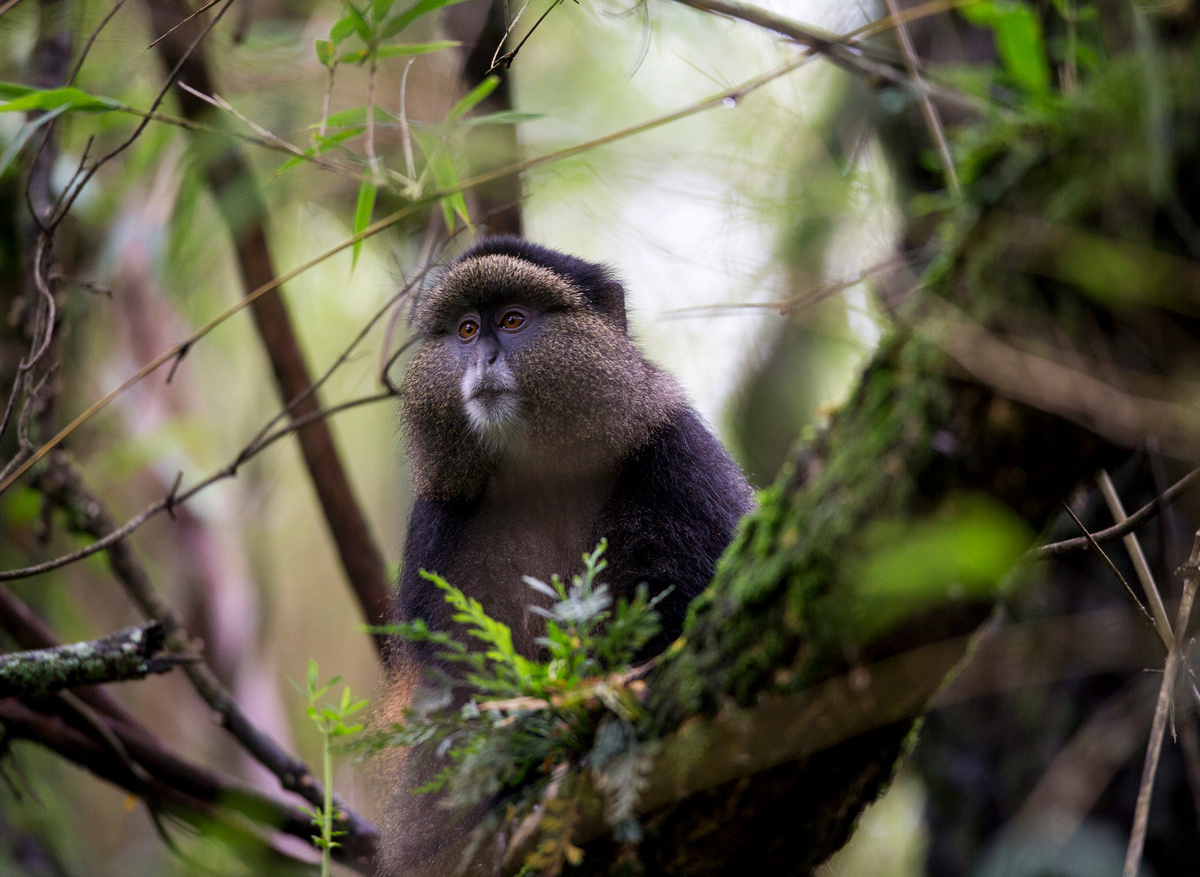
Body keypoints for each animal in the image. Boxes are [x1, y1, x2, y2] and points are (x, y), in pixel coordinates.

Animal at [378, 236, 754, 876]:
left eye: (512, 320)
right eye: (466, 329)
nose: (482, 360)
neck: (540, 472)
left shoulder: (678, 457)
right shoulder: (437, 523)